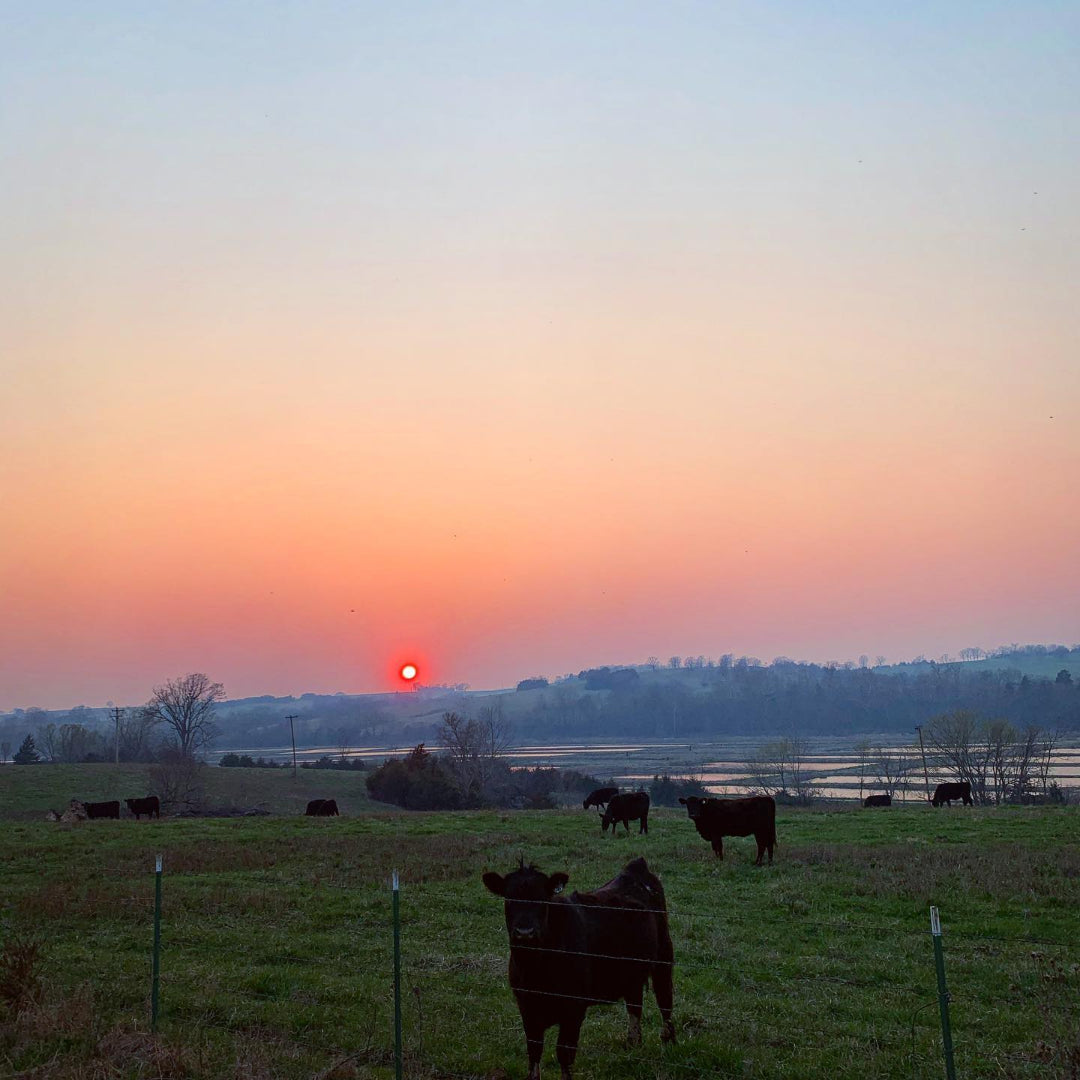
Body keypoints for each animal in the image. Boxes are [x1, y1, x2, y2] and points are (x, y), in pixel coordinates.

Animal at [483, 851, 669, 1080]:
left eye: (543, 899)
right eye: (509, 898)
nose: (524, 932)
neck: (535, 968)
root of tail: (636, 866)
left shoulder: (574, 1008)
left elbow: (564, 1052)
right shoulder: (526, 1006)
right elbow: (534, 1050)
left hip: (664, 954)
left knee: (665, 997)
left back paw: (669, 1043)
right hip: (631, 972)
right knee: (635, 1005)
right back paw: (633, 1045)